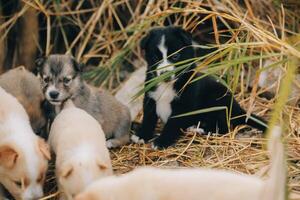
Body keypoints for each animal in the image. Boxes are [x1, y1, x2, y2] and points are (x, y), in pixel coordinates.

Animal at [132, 26, 268, 148]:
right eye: (155, 58)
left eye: (176, 56)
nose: (165, 74)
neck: (168, 86)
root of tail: (238, 110)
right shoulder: (150, 98)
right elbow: (148, 119)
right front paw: (142, 135)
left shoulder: (184, 106)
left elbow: (172, 125)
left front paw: (162, 141)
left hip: (218, 99)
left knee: (224, 127)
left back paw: (201, 129)